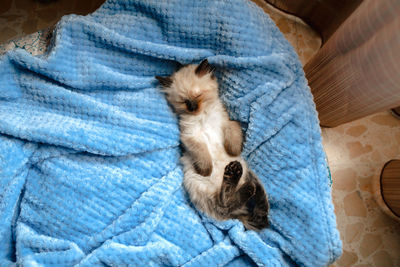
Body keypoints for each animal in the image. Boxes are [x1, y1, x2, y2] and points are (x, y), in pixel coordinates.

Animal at [156, 60, 268, 230]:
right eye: (184, 102)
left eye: (198, 95)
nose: (193, 107)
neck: (203, 115)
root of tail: (239, 215)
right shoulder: (190, 137)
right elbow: (203, 155)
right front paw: (206, 170)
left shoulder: (227, 123)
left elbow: (233, 139)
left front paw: (233, 151)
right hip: (199, 184)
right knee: (224, 203)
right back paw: (239, 179)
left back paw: (239, 176)